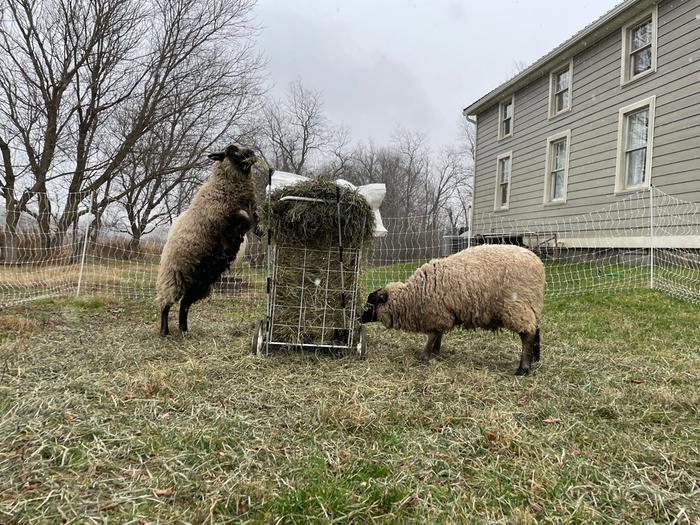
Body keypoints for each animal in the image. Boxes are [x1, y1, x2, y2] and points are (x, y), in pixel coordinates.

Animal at [156, 144, 260, 336]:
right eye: (232, 151)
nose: (251, 153)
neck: (222, 186)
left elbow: (253, 217)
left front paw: (259, 229)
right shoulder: (226, 220)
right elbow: (244, 217)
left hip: (200, 283)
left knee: (184, 305)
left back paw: (184, 329)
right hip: (173, 278)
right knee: (166, 304)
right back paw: (165, 331)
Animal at [360, 244, 548, 374]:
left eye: (371, 303)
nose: (358, 318)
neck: (412, 295)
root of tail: (539, 264)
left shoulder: (436, 314)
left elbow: (433, 335)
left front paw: (425, 356)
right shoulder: (442, 314)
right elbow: (438, 335)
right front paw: (435, 352)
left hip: (518, 307)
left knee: (527, 335)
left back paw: (523, 369)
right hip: (530, 306)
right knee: (536, 330)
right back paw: (536, 359)